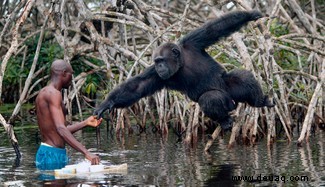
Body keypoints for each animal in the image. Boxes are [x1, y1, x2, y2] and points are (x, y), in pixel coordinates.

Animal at [93, 9, 274, 130]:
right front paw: (107, 103)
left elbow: (216, 28)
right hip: (228, 103)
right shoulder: (155, 75)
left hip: (231, 91)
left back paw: (260, 101)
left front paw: (251, 14)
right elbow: (136, 87)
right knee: (210, 98)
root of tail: (233, 103)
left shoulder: (193, 41)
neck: (181, 63)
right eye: (156, 61)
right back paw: (225, 120)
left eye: (161, 60)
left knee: (241, 78)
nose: (159, 65)